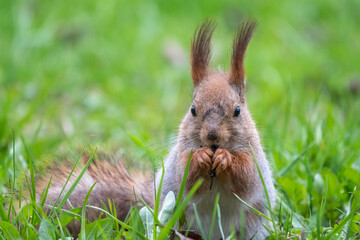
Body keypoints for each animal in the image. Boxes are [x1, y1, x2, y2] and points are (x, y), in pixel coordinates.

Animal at [38, 19, 276, 240]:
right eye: (193, 109)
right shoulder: (180, 159)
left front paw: (225, 158)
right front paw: (199, 157)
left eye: (237, 110)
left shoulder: (254, 160)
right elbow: (185, 175)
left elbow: (245, 178)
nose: (211, 136)